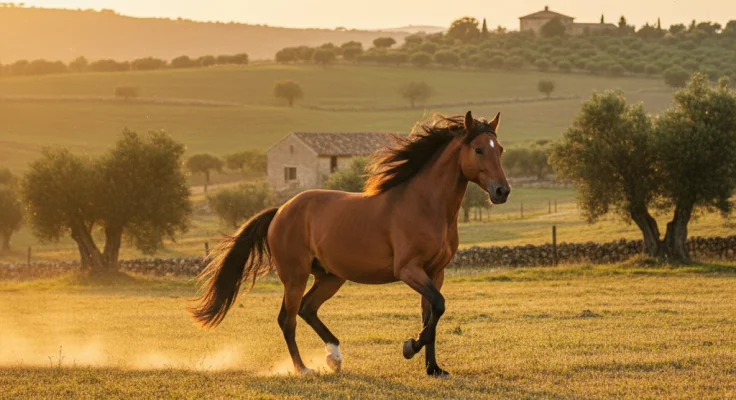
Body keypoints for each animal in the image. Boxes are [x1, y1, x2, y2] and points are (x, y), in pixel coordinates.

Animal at [190, 111, 510, 377]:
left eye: (500, 150)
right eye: (478, 149)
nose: (502, 191)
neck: (425, 205)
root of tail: (281, 210)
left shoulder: (436, 272)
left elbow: (432, 314)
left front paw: (434, 368)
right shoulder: (409, 270)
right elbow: (437, 308)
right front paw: (409, 347)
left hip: (331, 277)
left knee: (307, 309)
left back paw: (334, 357)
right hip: (295, 277)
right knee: (287, 319)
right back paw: (303, 368)